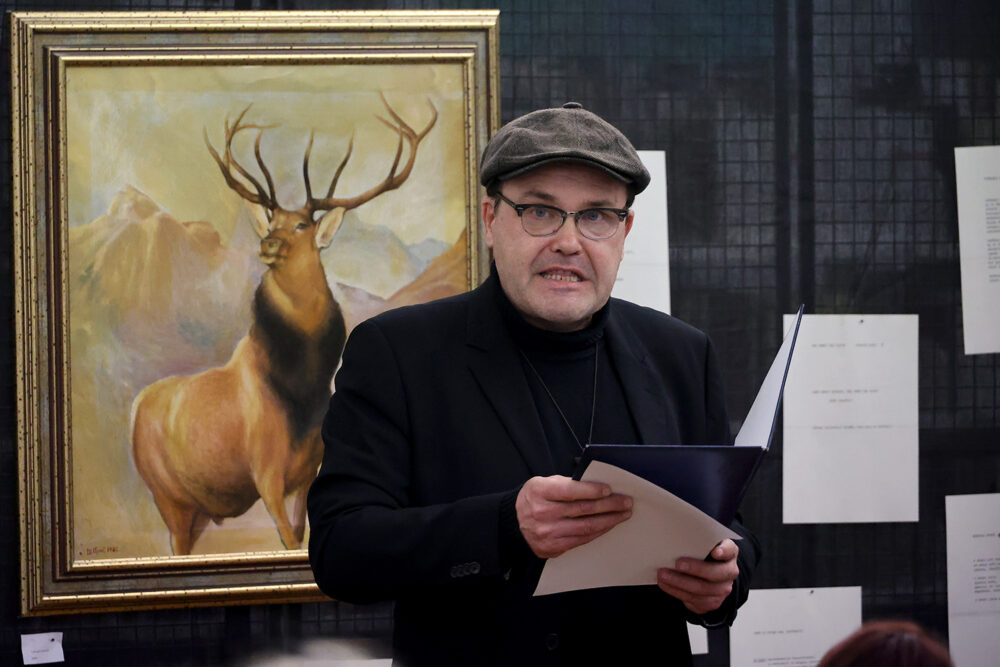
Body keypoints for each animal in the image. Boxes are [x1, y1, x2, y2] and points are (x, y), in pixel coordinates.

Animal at [130, 94, 437, 555]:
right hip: (168, 498)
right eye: (272, 223)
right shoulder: (266, 473)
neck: (304, 393)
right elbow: (290, 541)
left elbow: (300, 536)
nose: (268, 242)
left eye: (301, 224)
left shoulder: (307, 474)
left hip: (196, 509)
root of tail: (134, 409)